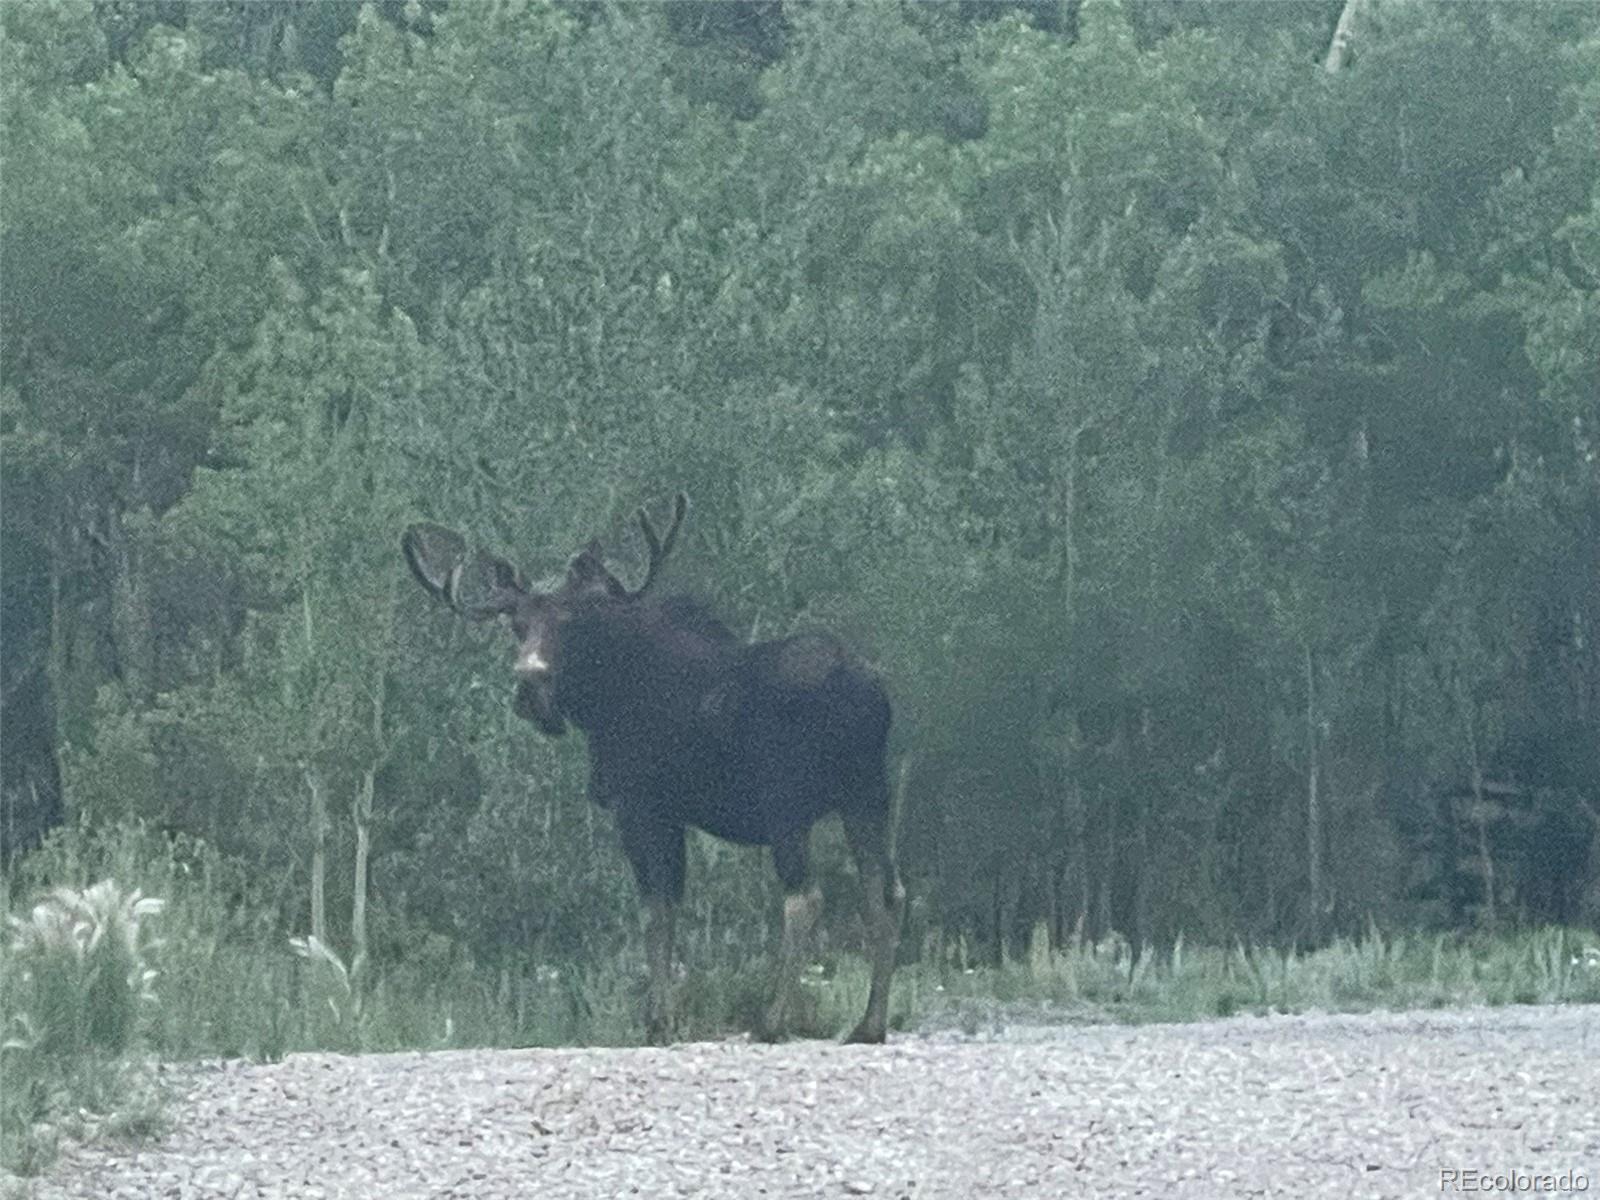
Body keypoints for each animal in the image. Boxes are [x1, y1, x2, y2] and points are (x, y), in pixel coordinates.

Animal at [403, 496, 902, 1043]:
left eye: (572, 623)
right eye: (517, 624)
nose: (530, 679)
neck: (599, 705)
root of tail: (869, 696)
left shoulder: (639, 805)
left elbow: (654, 912)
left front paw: (660, 1021)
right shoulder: (673, 815)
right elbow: (671, 909)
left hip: (788, 803)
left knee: (804, 898)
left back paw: (772, 1020)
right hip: (868, 795)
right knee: (887, 892)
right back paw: (869, 1024)